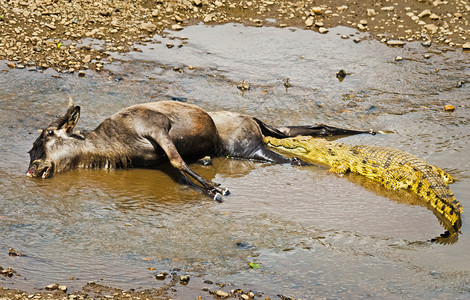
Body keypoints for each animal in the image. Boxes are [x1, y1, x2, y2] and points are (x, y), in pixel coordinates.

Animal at [27, 99, 372, 202]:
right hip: (249, 147)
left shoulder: (156, 126)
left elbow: (180, 163)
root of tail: (252, 119)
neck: (112, 147)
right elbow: (179, 169)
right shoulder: (156, 159)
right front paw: (210, 186)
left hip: (251, 146)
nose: (33, 167)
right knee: (294, 135)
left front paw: (215, 188)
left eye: (47, 134)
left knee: (292, 155)